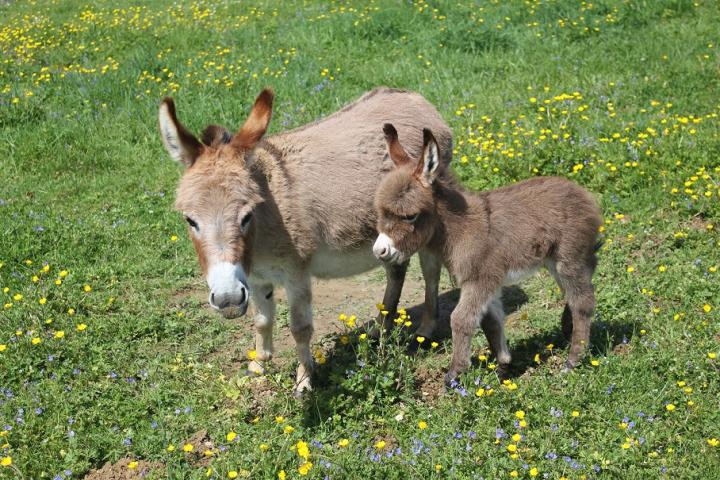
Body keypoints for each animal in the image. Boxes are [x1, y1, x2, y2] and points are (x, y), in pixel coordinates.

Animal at [374, 124, 604, 386]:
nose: (379, 251)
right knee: (580, 285)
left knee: (583, 302)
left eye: (410, 216)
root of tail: (583, 194)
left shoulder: (479, 278)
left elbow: (461, 319)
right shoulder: (487, 282)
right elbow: (491, 322)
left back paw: (573, 360)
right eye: (380, 213)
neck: (461, 228)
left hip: (569, 258)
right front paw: (504, 367)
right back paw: (567, 325)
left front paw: (454, 375)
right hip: (556, 260)